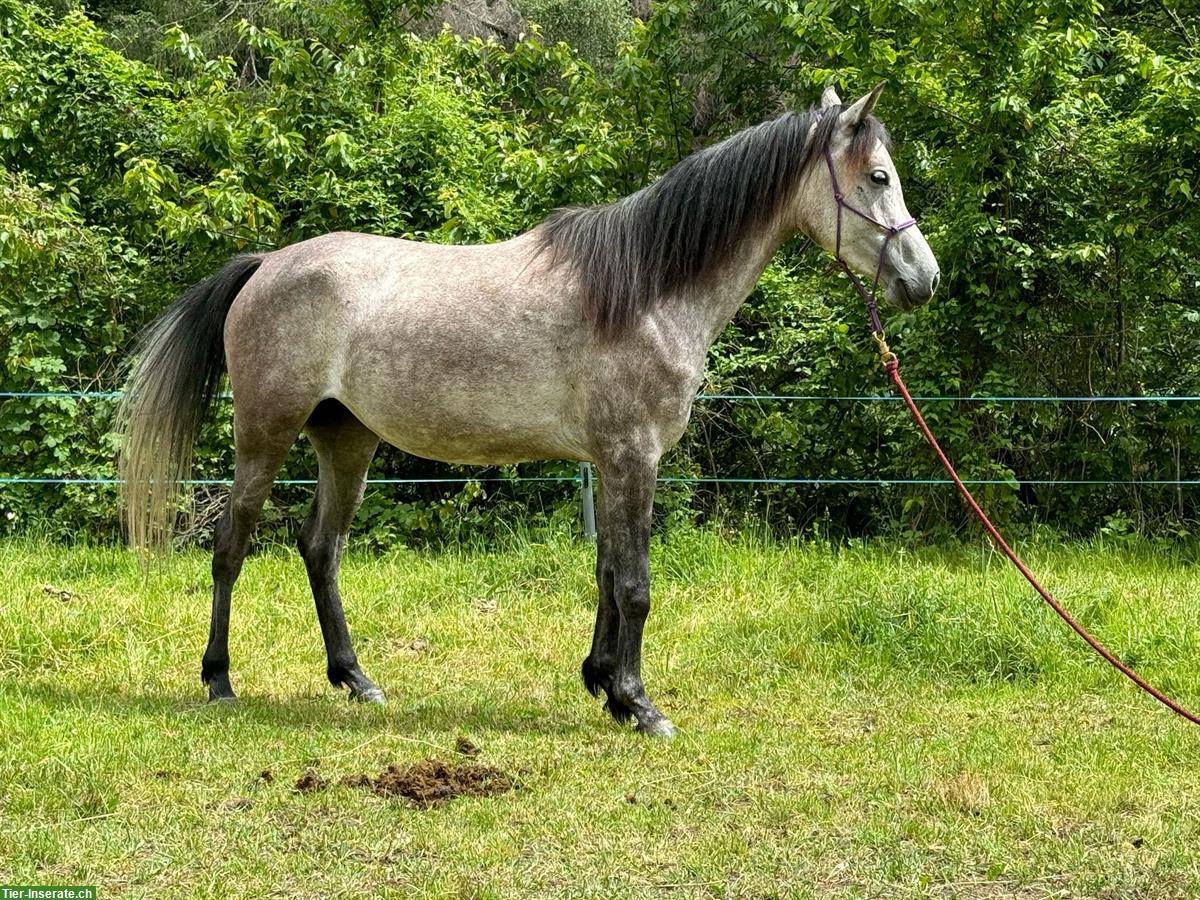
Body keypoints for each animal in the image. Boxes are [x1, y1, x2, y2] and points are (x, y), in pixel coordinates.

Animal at [117, 81, 936, 734]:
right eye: (879, 177)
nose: (923, 279)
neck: (644, 291)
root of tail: (266, 266)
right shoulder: (633, 456)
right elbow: (635, 584)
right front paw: (641, 705)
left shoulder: (610, 460)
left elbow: (607, 571)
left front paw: (605, 686)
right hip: (265, 435)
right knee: (231, 546)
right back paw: (219, 680)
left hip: (346, 440)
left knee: (321, 549)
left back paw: (356, 680)